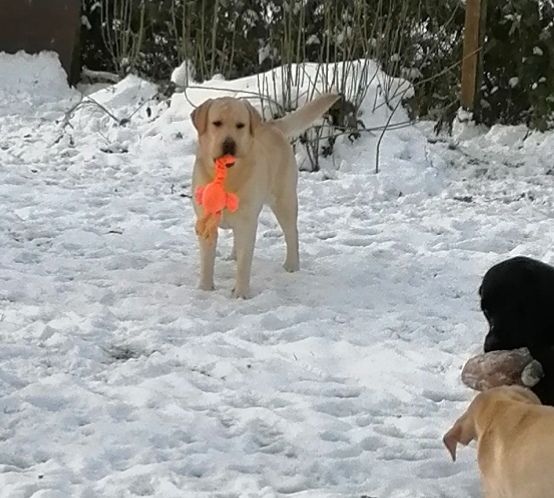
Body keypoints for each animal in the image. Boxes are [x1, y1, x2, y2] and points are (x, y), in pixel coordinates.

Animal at [189, 93, 336, 298]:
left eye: (240, 125)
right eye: (216, 123)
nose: (229, 144)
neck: (228, 177)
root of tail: (272, 125)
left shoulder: (247, 222)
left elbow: (244, 264)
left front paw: (241, 294)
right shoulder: (206, 220)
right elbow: (207, 262)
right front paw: (205, 289)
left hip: (284, 201)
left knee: (292, 234)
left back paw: (291, 265)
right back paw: (233, 256)